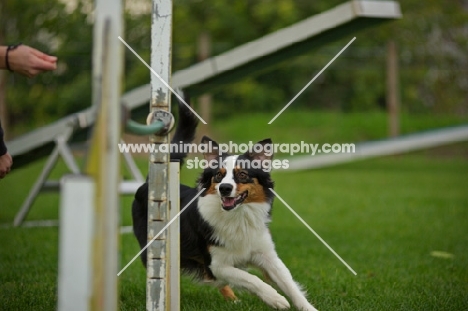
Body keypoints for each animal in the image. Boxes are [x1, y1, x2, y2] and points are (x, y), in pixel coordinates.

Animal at [131, 101, 318, 310]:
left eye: (242, 174)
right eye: (219, 175)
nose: (225, 188)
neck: (238, 216)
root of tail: (152, 182)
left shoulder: (266, 254)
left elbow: (289, 283)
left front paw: (307, 307)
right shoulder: (216, 264)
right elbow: (251, 278)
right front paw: (275, 298)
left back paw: (233, 299)